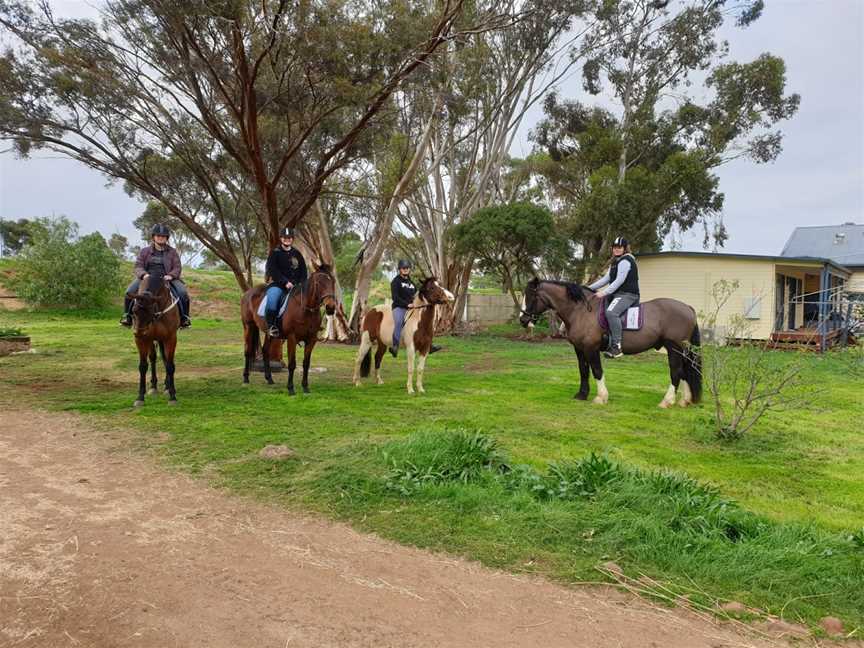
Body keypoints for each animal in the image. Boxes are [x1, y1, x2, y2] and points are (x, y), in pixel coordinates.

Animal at [127, 268, 180, 404]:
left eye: (150, 311)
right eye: (134, 310)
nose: (139, 332)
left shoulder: (171, 338)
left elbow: (170, 365)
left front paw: (172, 396)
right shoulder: (142, 340)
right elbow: (143, 366)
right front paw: (140, 397)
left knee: (165, 359)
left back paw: (167, 387)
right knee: (153, 358)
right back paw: (153, 387)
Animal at [243, 264, 340, 394]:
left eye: (333, 281)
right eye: (318, 283)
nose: (330, 307)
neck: (305, 309)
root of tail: (248, 293)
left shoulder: (311, 340)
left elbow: (306, 363)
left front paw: (305, 387)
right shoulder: (292, 338)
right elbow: (292, 364)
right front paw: (290, 388)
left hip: (270, 334)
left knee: (265, 351)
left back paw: (269, 379)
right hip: (248, 326)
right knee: (248, 351)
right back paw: (246, 378)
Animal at [520, 280, 704, 408]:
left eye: (531, 296)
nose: (522, 319)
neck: (580, 311)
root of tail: (688, 308)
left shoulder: (591, 348)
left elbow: (596, 371)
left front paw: (601, 397)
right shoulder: (579, 349)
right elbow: (583, 371)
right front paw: (582, 394)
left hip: (674, 348)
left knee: (676, 372)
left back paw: (667, 401)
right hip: (683, 351)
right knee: (685, 372)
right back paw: (685, 401)